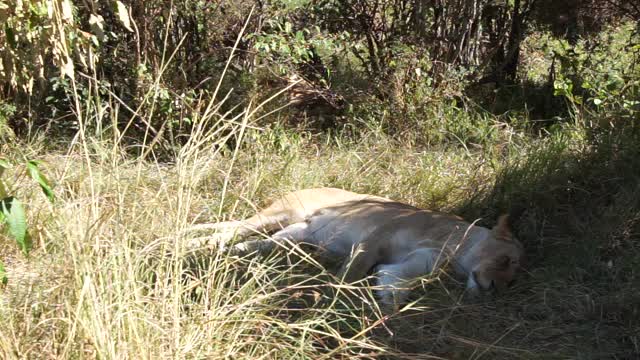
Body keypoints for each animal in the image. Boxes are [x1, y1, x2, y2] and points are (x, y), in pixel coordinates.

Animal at [189, 188, 520, 306]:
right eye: (505, 261)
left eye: (512, 283)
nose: (494, 290)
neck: (453, 249)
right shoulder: (376, 237)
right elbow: (352, 273)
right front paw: (334, 297)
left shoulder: (420, 261)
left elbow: (394, 275)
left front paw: (391, 297)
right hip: (280, 214)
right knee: (228, 229)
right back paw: (190, 241)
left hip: (289, 236)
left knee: (244, 242)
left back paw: (220, 252)